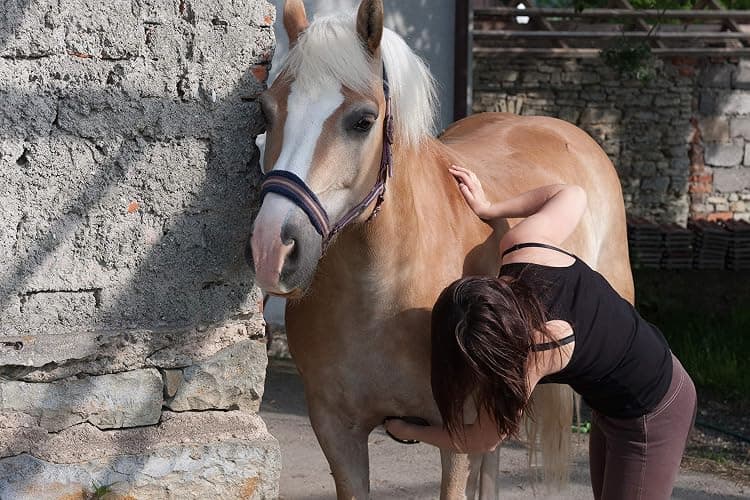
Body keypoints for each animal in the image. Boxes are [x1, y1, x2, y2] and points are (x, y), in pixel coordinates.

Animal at [249, 0, 634, 498]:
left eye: (363, 120)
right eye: (266, 111)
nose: (271, 248)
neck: (384, 292)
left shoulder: (456, 437)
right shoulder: (337, 432)